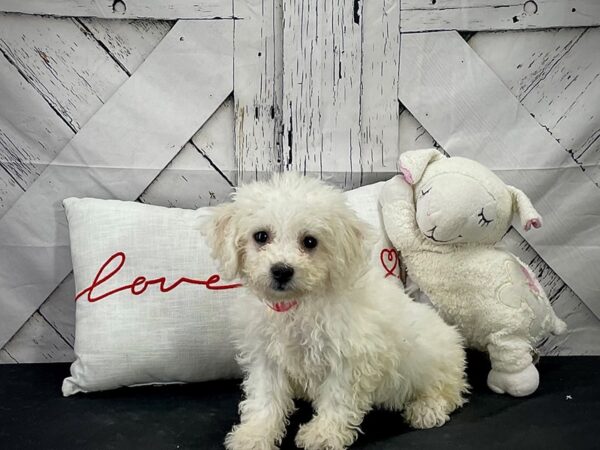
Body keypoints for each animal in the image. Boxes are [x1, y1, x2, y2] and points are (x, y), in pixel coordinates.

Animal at [204, 174, 472, 450]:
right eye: (261, 236)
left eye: (310, 241)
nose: (281, 270)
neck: (298, 304)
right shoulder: (266, 355)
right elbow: (265, 396)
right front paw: (255, 433)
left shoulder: (349, 357)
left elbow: (337, 398)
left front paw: (323, 434)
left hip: (434, 363)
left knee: (450, 391)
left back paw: (427, 409)